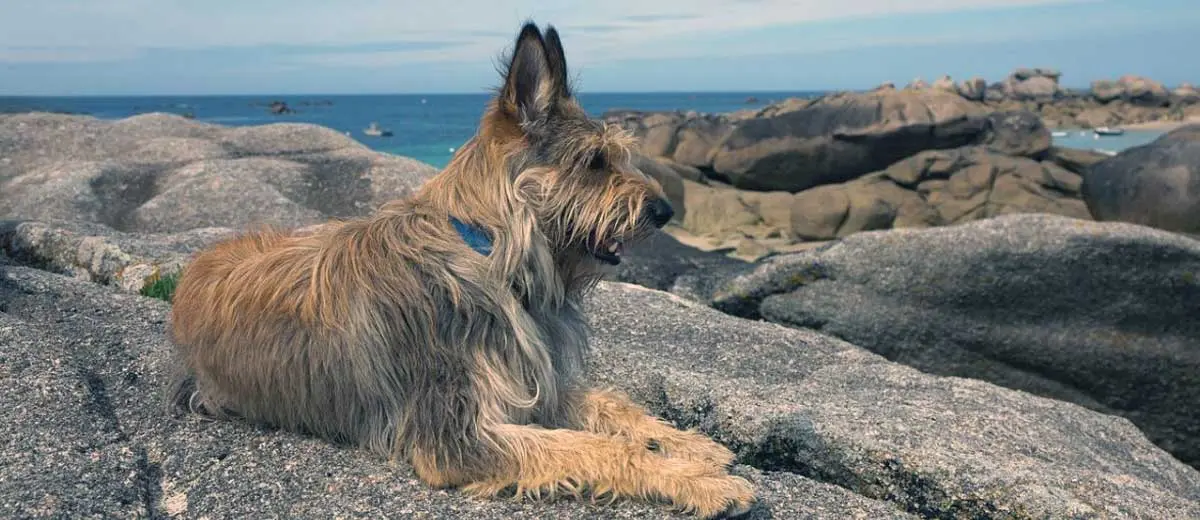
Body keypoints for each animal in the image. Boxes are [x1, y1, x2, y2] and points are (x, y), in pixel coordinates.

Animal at [165, 21, 753, 518]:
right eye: (595, 162)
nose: (666, 211)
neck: (485, 247)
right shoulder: (458, 434)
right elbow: (597, 447)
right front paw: (699, 480)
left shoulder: (529, 381)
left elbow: (612, 407)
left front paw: (689, 445)